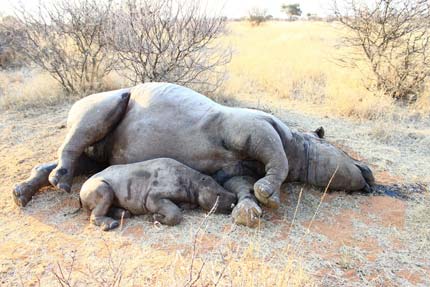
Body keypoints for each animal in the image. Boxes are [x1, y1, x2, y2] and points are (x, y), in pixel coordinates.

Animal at [79, 158, 237, 232]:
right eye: (218, 195)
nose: (234, 201)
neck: (195, 182)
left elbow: (184, 206)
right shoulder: (153, 196)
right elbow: (175, 213)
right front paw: (154, 217)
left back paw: (123, 214)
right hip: (93, 185)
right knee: (106, 192)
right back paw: (112, 224)